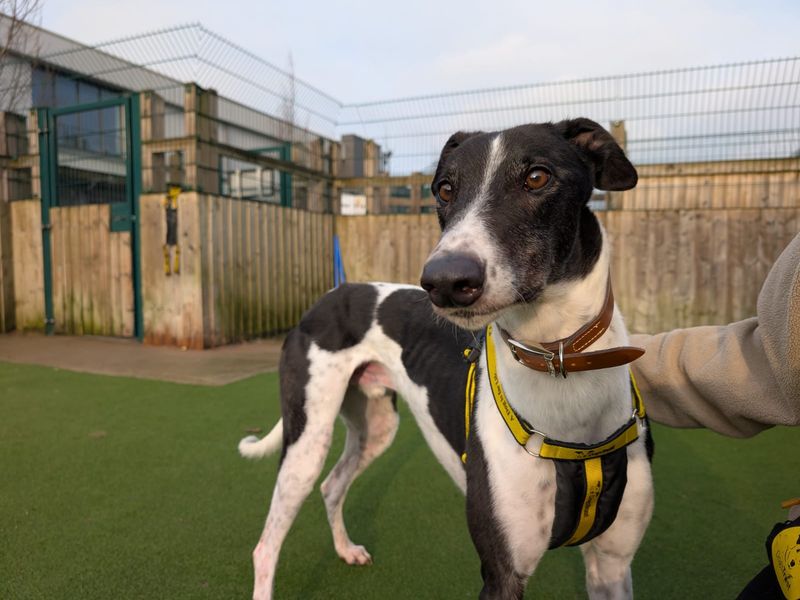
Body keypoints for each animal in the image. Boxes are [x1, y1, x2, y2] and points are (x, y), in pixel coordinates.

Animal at [241, 119, 652, 596]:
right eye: (444, 189)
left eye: (537, 177)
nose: (445, 282)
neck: (558, 362)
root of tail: (328, 296)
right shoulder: (501, 571)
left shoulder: (612, 566)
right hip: (306, 440)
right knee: (266, 544)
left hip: (377, 426)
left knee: (332, 484)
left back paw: (346, 549)